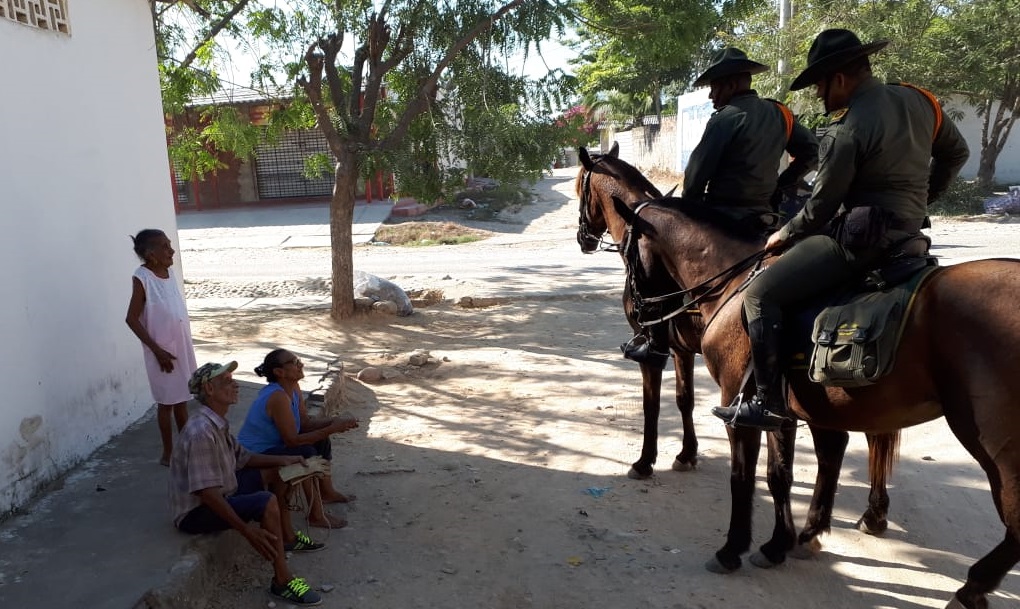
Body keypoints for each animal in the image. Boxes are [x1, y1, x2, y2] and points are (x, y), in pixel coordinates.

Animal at [576, 143, 702, 480]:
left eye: (580, 188)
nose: (582, 239)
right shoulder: (682, 349)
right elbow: (684, 399)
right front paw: (687, 454)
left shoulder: (651, 349)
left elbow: (651, 404)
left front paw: (645, 461)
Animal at [612, 195, 1020, 609]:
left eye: (628, 253)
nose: (640, 314)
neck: (734, 287)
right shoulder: (781, 412)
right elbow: (779, 474)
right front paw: (778, 543)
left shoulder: (738, 407)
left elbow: (742, 476)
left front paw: (732, 549)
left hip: (997, 448)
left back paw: (971, 587)